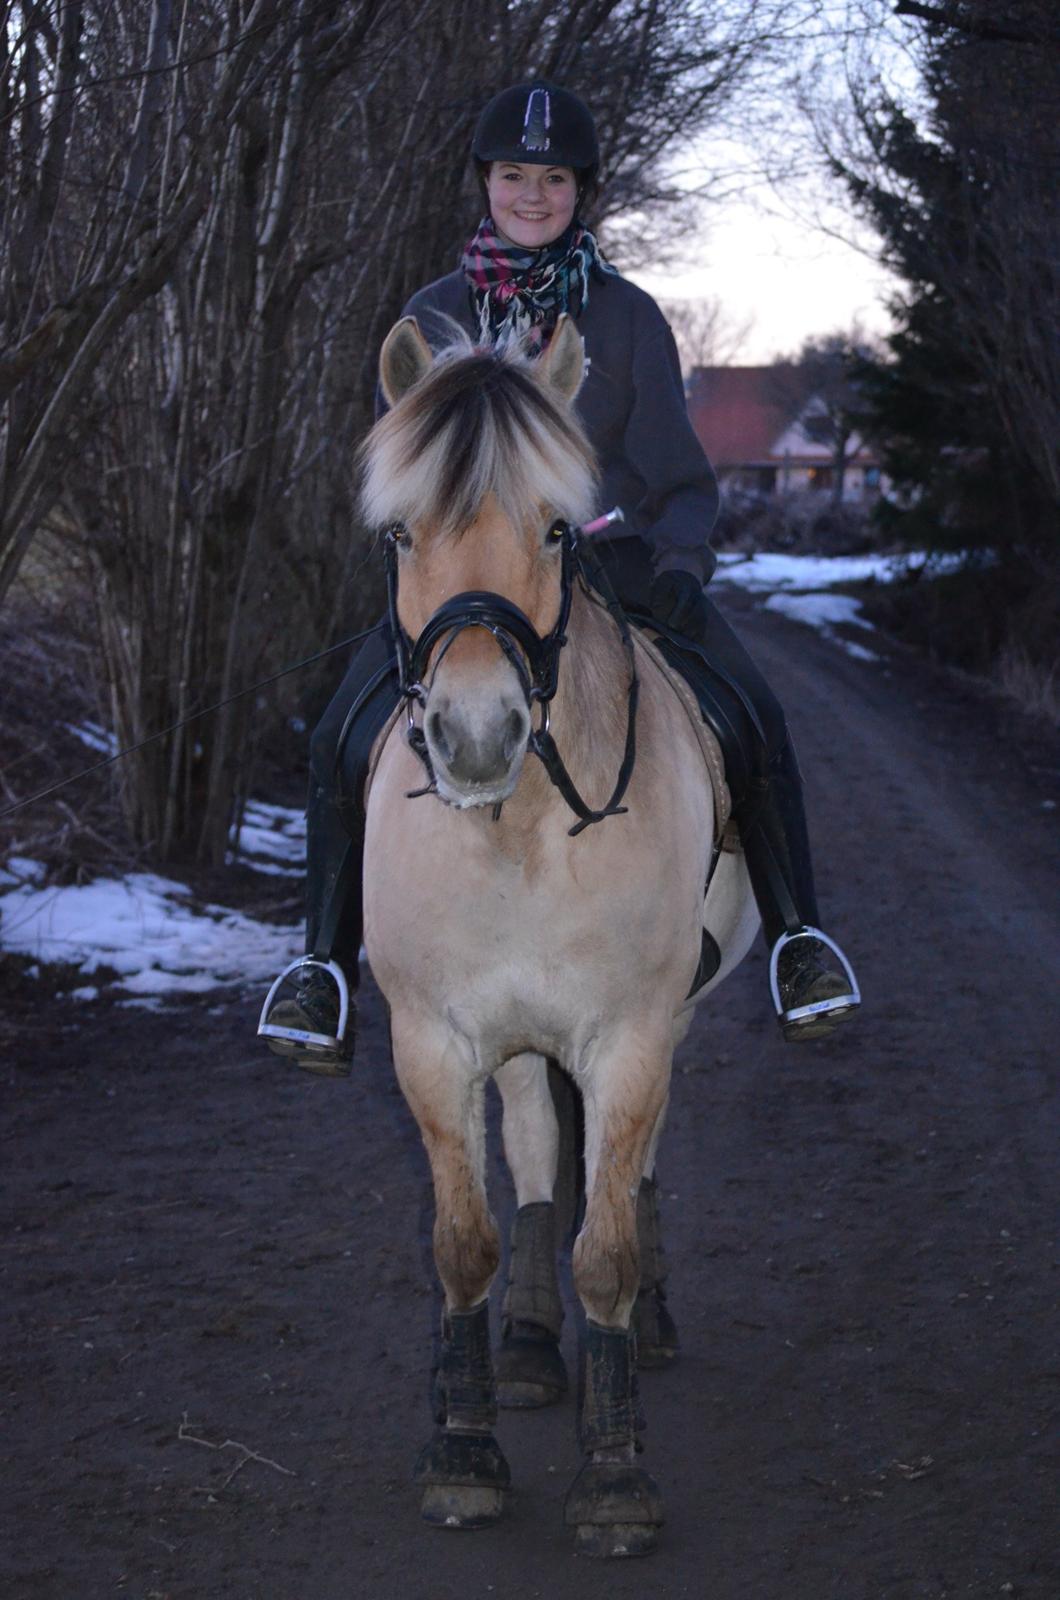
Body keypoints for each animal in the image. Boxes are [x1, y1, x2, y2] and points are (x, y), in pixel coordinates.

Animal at [361, 318, 758, 1555]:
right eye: (401, 531)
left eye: (552, 525)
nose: (475, 735)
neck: (519, 826)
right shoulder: (432, 1042)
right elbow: (464, 1239)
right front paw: (463, 1447)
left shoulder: (630, 1033)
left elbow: (611, 1244)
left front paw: (615, 1472)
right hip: (518, 1038)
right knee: (539, 1144)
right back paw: (534, 1344)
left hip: (668, 1018)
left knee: (633, 1167)